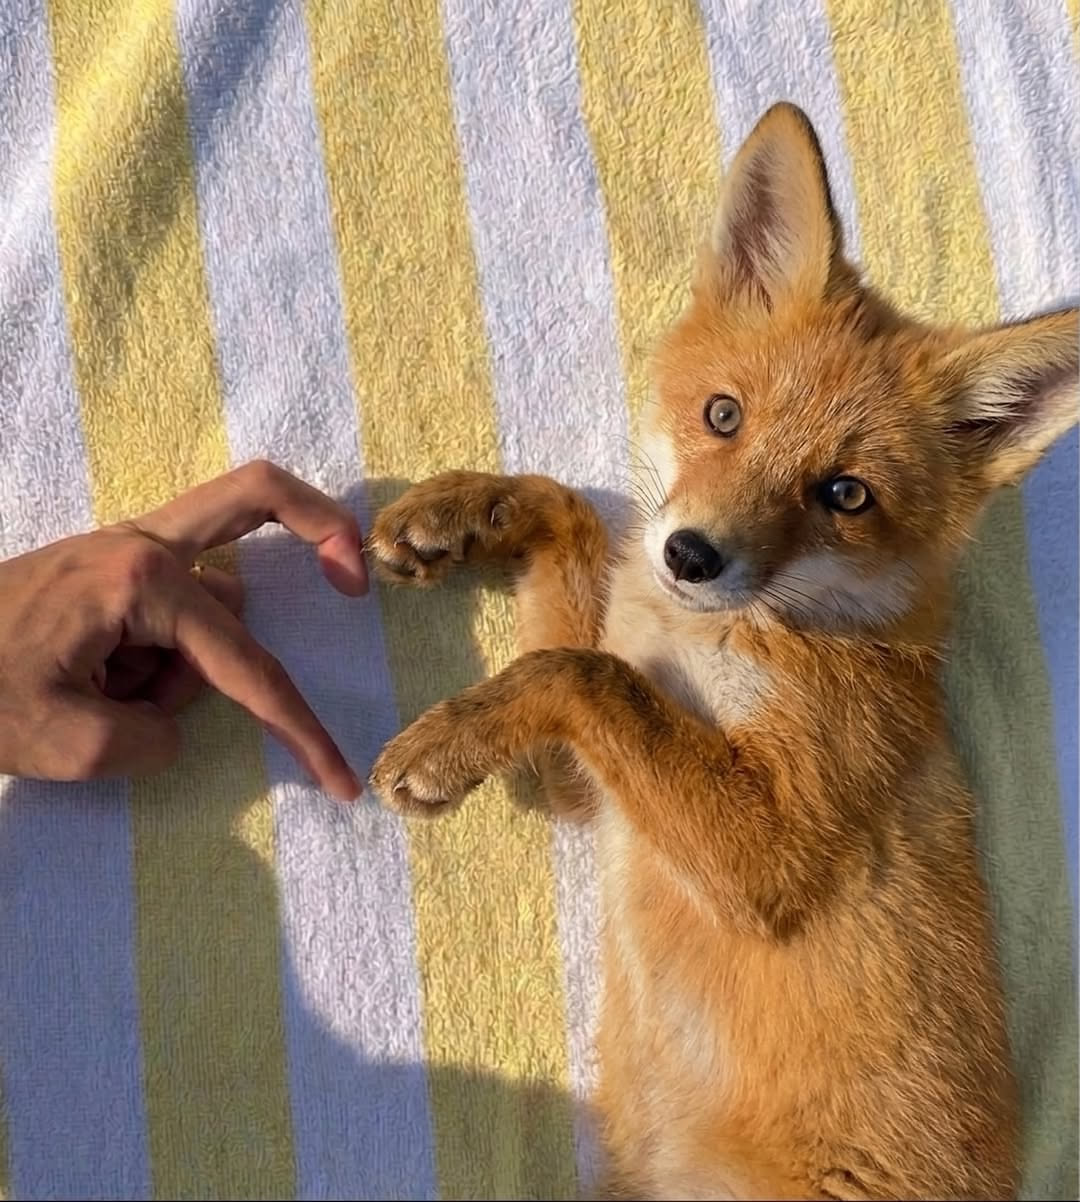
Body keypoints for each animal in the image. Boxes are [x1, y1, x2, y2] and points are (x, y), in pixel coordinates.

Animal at [366, 103, 1079, 1200]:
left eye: (845, 494)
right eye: (724, 414)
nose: (690, 555)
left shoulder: (769, 852)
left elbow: (577, 670)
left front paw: (439, 746)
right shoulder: (593, 789)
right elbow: (570, 536)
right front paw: (459, 513)